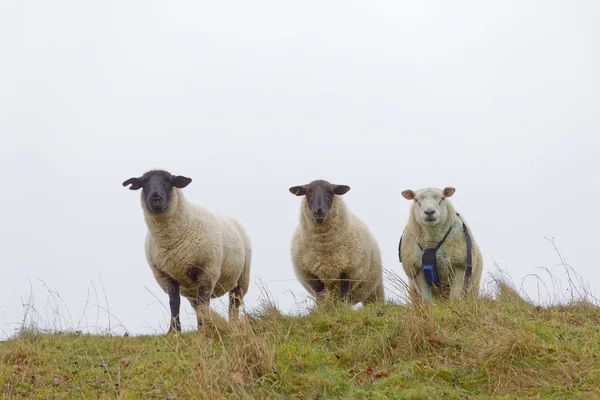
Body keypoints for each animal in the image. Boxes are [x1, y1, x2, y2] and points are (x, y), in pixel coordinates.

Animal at [122, 170, 251, 332]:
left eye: (169, 181)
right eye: (144, 182)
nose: (155, 198)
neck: (170, 241)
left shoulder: (207, 271)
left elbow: (204, 302)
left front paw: (203, 328)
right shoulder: (164, 275)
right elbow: (174, 302)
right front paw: (174, 330)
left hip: (242, 278)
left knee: (234, 303)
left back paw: (232, 324)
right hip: (191, 290)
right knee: (198, 305)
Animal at [288, 180, 382, 308]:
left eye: (330, 192)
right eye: (308, 192)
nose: (319, 211)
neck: (324, 247)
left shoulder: (349, 272)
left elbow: (343, 296)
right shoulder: (311, 276)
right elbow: (321, 298)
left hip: (374, 289)